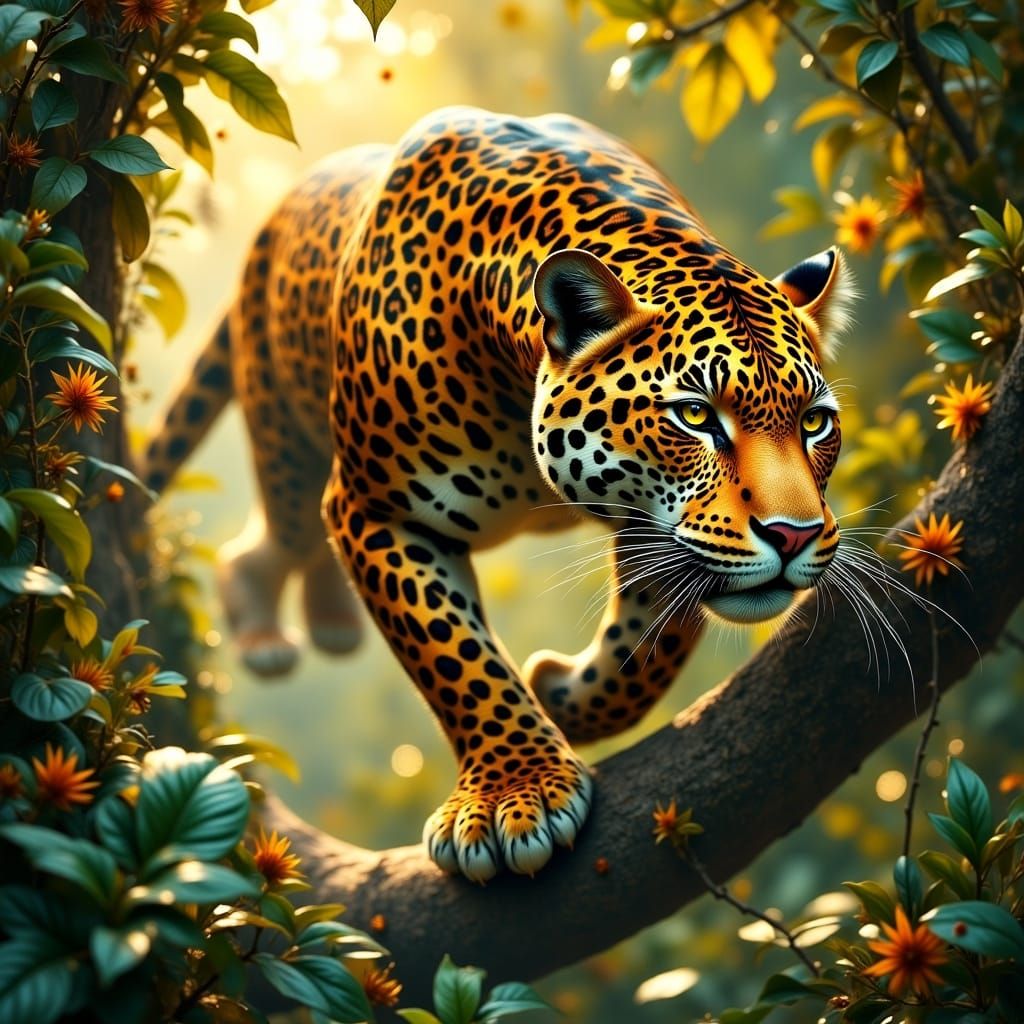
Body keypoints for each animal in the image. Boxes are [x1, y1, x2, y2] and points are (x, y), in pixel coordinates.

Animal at [143, 106, 855, 882]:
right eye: (696, 415)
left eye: (814, 422)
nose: (792, 535)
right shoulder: (375, 509)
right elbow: (452, 653)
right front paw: (517, 796)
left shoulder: (651, 522)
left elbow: (652, 648)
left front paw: (563, 694)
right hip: (289, 439)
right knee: (275, 536)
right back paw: (264, 632)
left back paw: (330, 623)